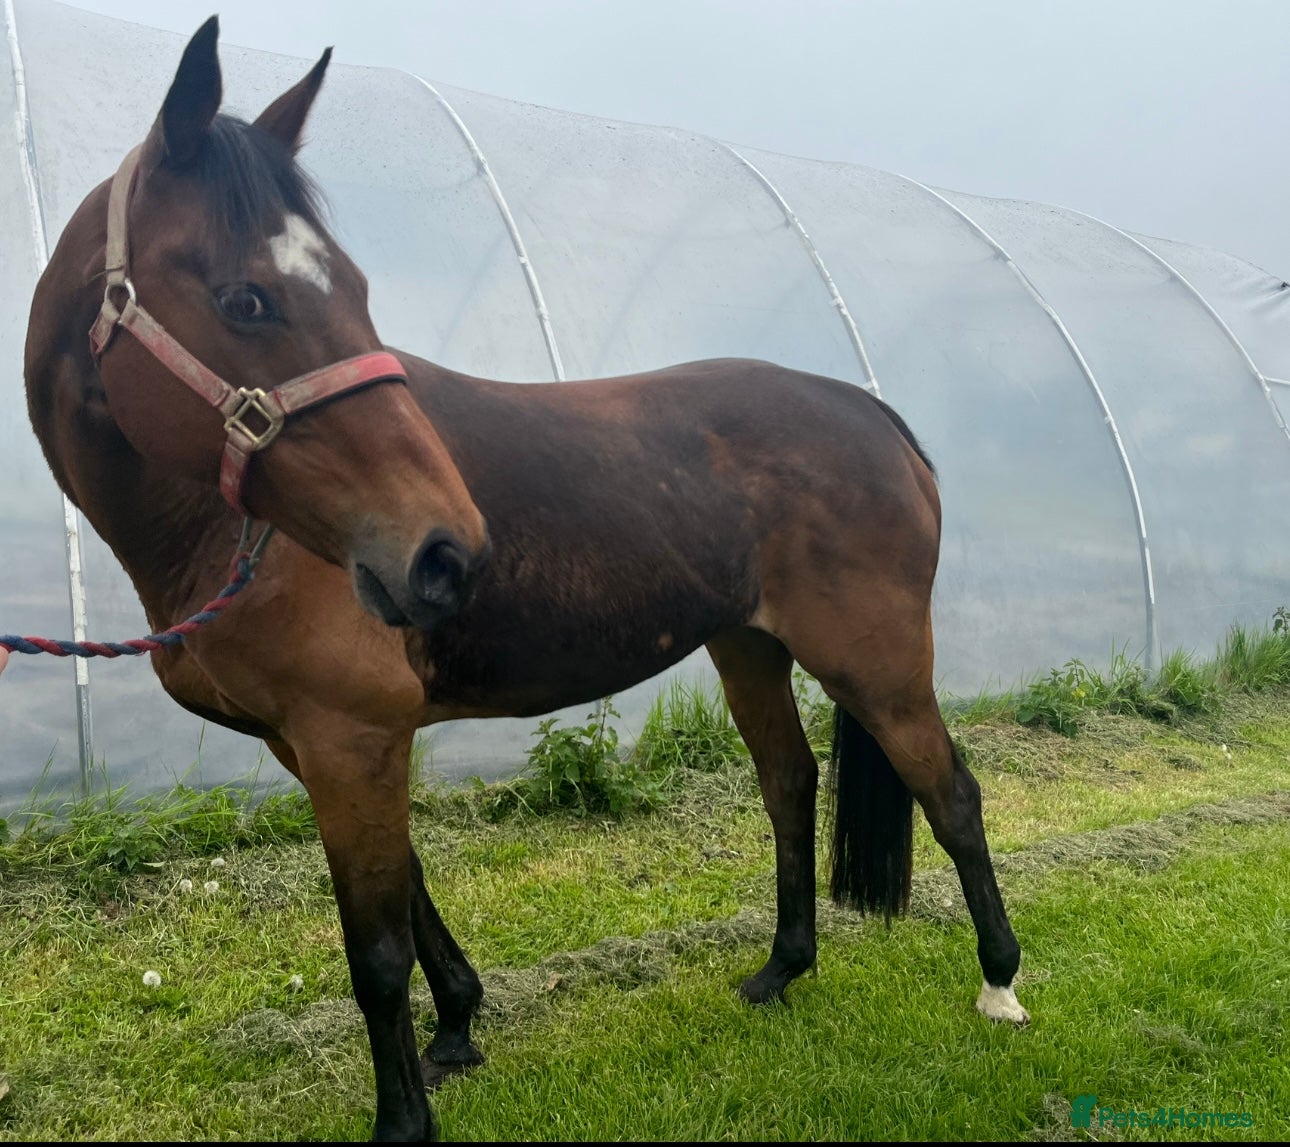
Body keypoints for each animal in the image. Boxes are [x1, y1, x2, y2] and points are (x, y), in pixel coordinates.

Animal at [22, 18, 1026, 1142]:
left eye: (355, 290)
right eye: (246, 296)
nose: (446, 553)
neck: (229, 532)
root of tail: (874, 413)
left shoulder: (351, 737)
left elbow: (376, 951)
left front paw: (406, 1116)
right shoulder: (321, 745)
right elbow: (411, 897)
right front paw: (458, 1025)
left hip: (876, 661)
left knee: (951, 793)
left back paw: (999, 981)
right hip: (749, 647)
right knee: (788, 783)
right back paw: (779, 970)